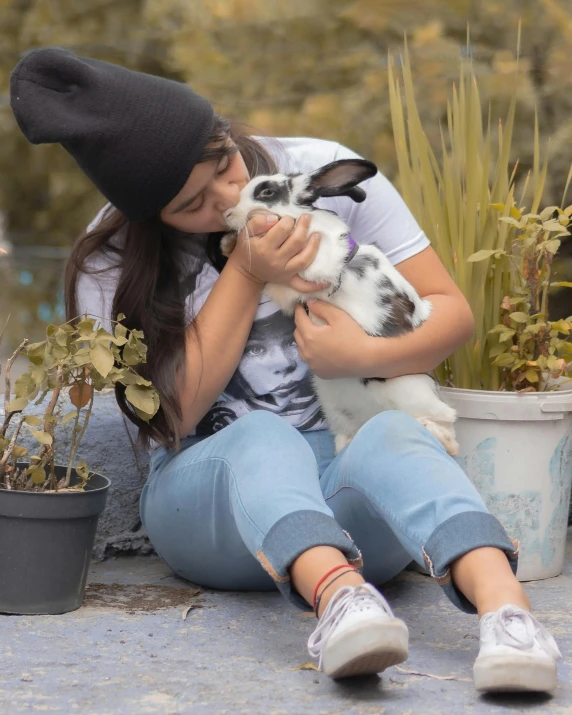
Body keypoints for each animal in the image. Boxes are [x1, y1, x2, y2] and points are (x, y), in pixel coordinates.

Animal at [221, 159, 458, 456]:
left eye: (266, 192)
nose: (227, 213)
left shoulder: (313, 270)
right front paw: (229, 244)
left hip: (415, 393)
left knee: (447, 429)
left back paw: (435, 432)